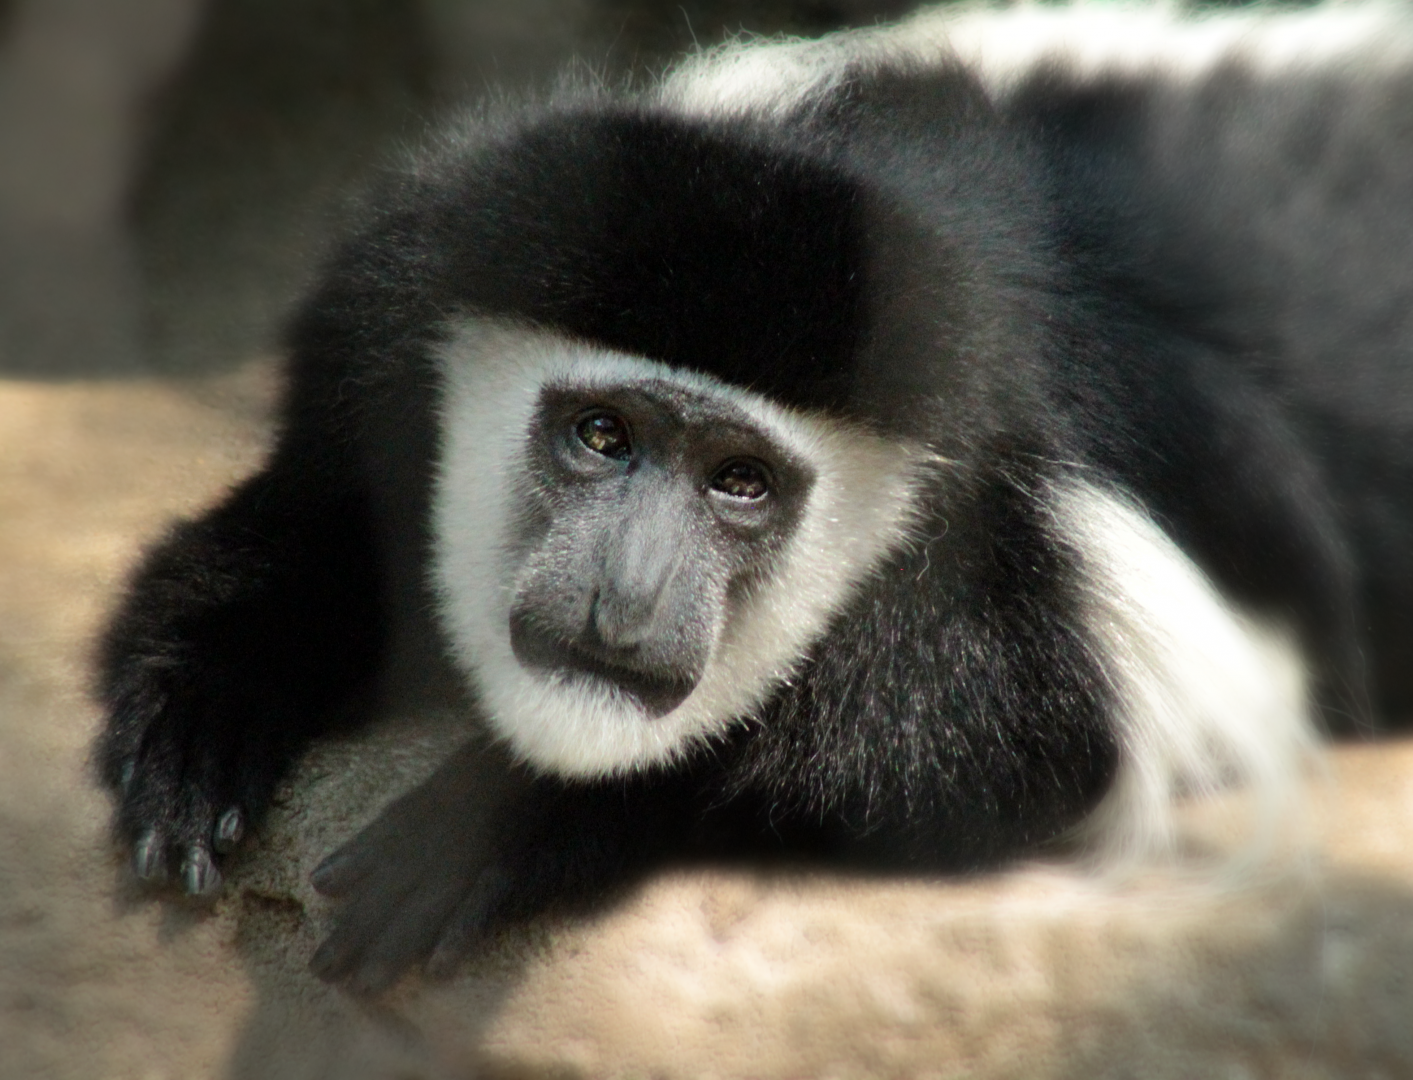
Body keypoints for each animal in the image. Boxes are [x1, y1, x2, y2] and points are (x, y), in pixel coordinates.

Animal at [96, 3, 1413, 992]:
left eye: (742, 482)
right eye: (602, 435)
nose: (623, 605)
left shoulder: (1038, 532)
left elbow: (1008, 759)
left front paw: (504, 822)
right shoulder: (381, 323)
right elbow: (295, 533)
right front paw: (203, 712)